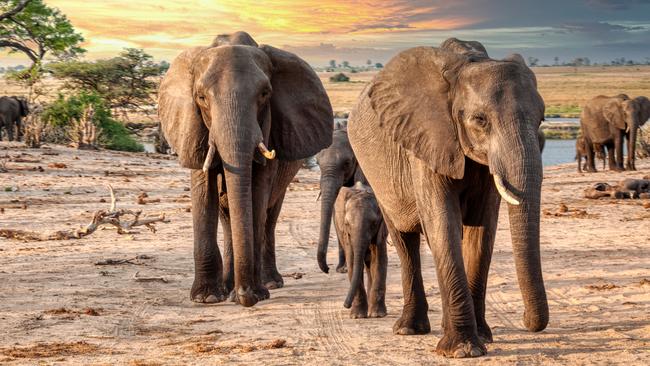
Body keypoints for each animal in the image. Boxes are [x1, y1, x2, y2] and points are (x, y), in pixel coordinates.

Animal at [156, 31, 330, 306]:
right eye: (201, 97)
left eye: (265, 94)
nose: (245, 297)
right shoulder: (194, 128)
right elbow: (204, 190)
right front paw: (207, 298)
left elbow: (257, 194)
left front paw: (256, 294)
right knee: (228, 215)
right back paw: (228, 287)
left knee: (269, 214)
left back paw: (268, 283)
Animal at [332, 182, 388, 318]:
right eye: (347, 224)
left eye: (374, 223)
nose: (346, 305)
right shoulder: (347, 235)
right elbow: (352, 261)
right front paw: (357, 316)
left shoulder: (381, 229)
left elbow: (379, 261)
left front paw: (378, 315)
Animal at [344, 38, 548, 358]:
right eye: (480, 120)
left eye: (542, 118)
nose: (527, 320)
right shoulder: (426, 138)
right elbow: (443, 224)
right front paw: (463, 350)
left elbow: (481, 231)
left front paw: (483, 338)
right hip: (377, 178)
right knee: (404, 241)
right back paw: (409, 329)